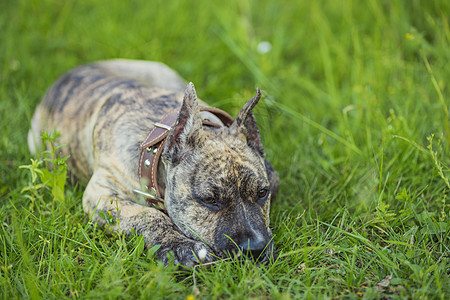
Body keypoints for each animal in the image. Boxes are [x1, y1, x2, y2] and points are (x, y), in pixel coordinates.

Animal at [28, 59, 278, 268]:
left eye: (262, 193)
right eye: (209, 200)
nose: (255, 249)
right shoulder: (100, 194)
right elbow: (148, 215)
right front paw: (179, 247)